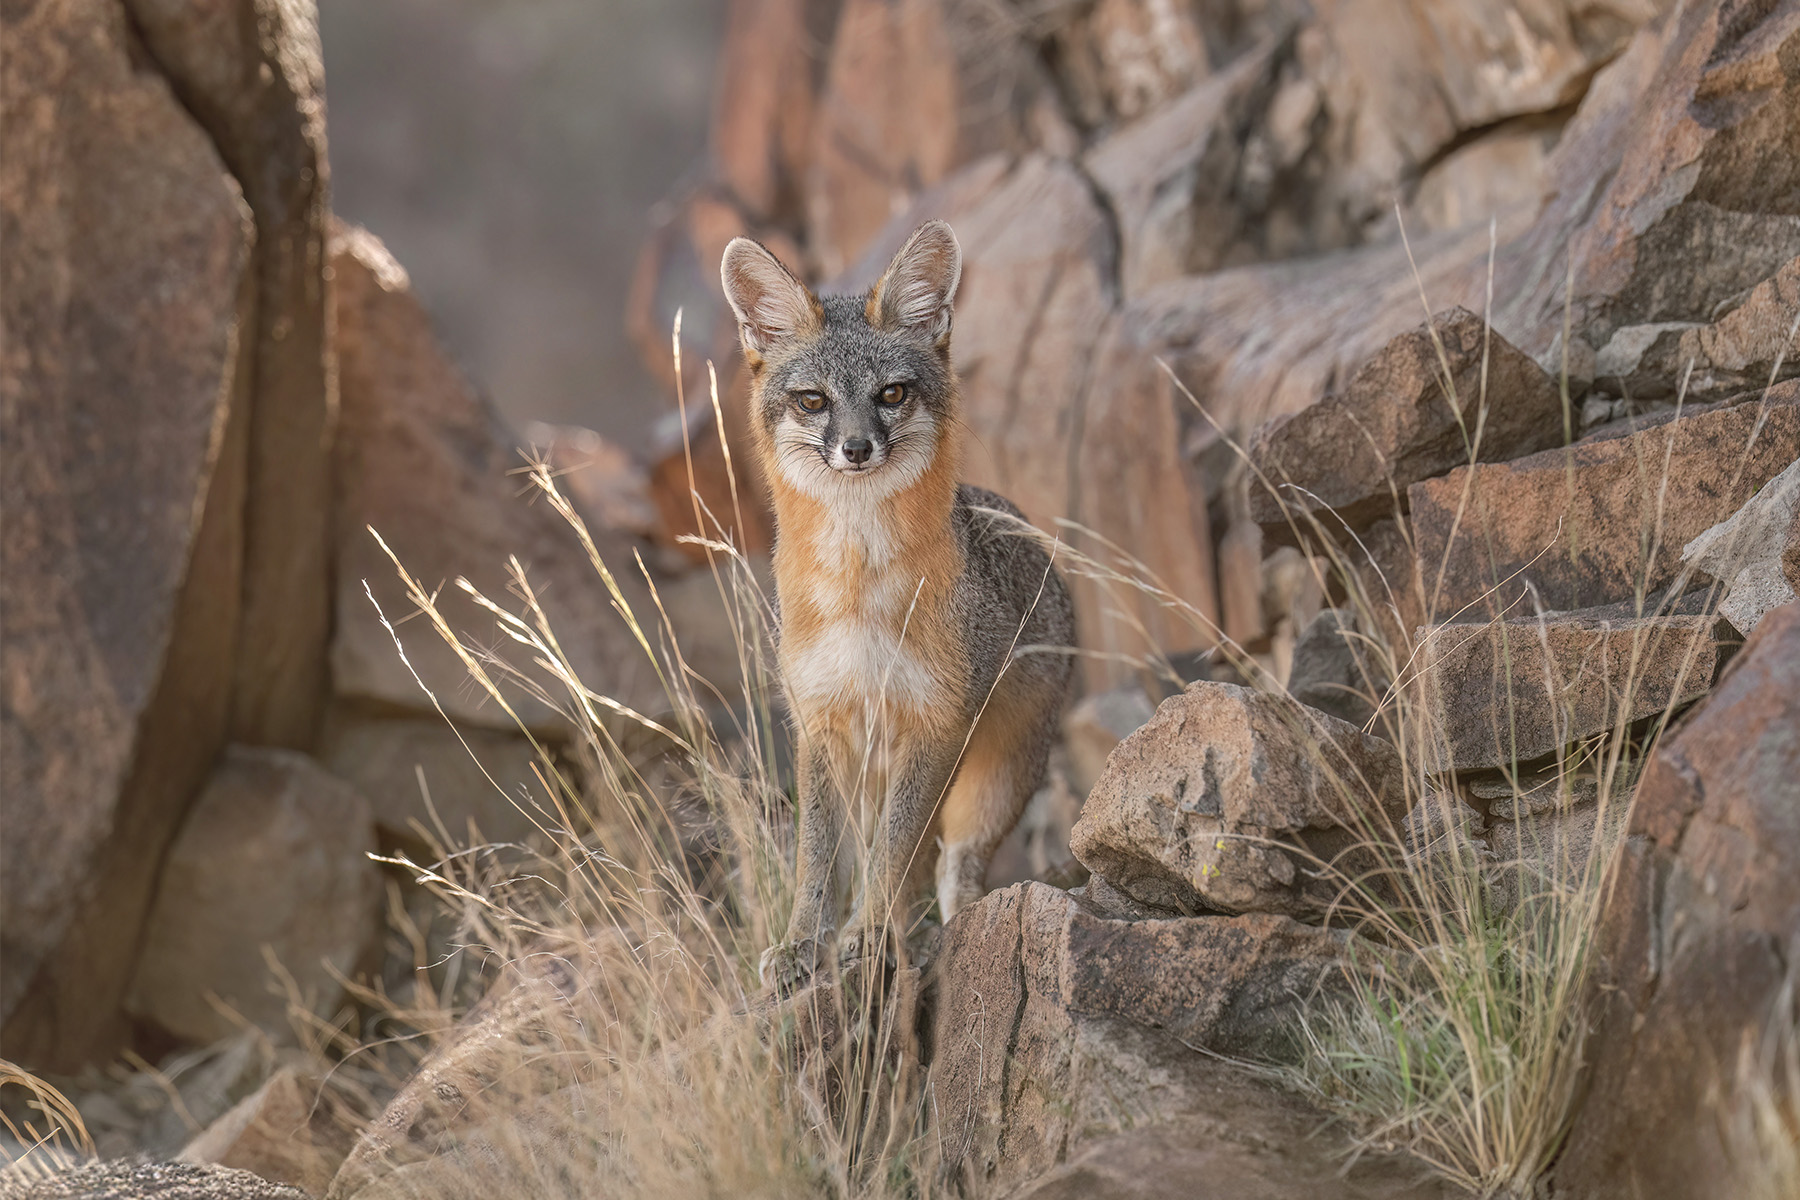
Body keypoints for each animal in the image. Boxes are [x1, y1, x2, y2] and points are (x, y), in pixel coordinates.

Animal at [720, 220, 1075, 992]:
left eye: (892, 393)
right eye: (813, 401)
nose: (856, 448)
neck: (858, 591)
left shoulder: (935, 722)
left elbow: (895, 855)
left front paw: (871, 934)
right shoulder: (821, 723)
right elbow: (817, 859)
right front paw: (804, 942)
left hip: (992, 783)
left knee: (953, 872)